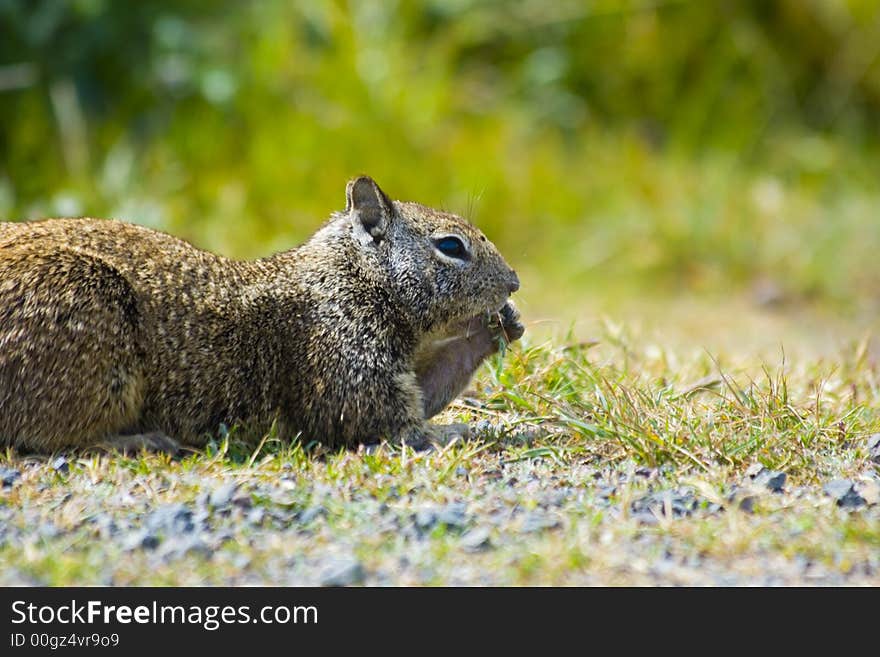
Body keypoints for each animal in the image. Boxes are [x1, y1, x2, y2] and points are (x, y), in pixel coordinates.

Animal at [0, 174, 524, 452]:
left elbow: (427, 388)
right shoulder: (341, 351)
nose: (515, 281)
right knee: (48, 438)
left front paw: (499, 326)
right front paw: (459, 429)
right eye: (451, 246)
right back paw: (141, 441)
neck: (350, 273)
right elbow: (384, 420)